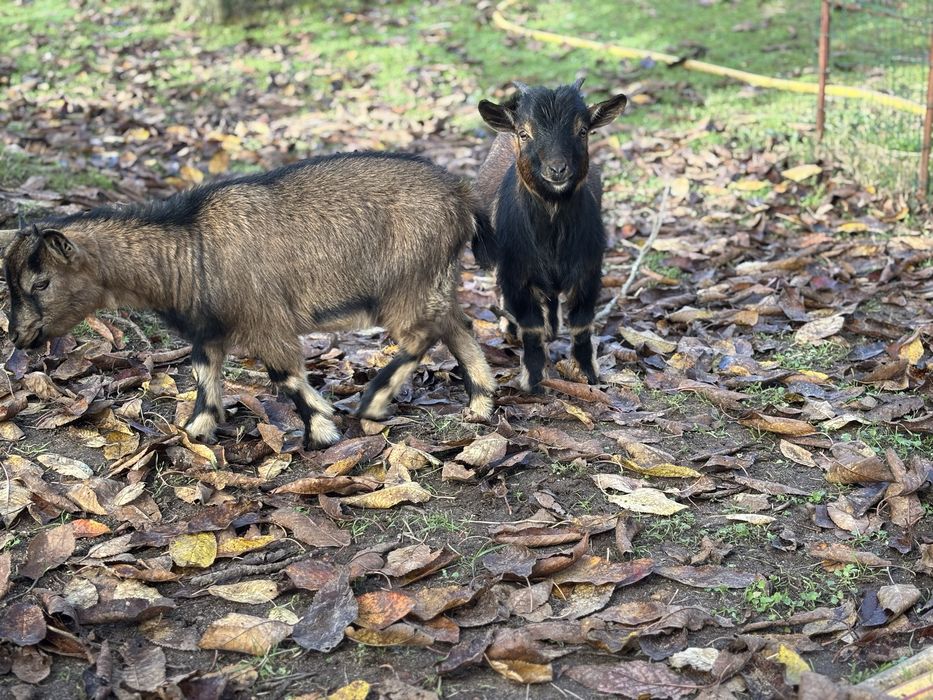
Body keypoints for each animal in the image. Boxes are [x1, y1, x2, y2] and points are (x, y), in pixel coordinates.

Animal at [1, 152, 496, 449]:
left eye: (41, 283)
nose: (20, 337)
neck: (189, 247)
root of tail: (461, 196)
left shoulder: (266, 320)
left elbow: (285, 376)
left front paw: (322, 431)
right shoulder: (209, 329)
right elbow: (203, 372)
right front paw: (197, 429)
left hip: (406, 283)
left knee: (422, 335)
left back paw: (373, 402)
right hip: (434, 280)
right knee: (457, 326)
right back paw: (480, 404)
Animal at [473, 79, 627, 392]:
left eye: (582, 131)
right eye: (524, 133)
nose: (557, 169)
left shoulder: (588, 271)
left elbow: (581, 325)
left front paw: (589, 374)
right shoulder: (518, 274)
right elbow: (530, 328)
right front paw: (533, 381)